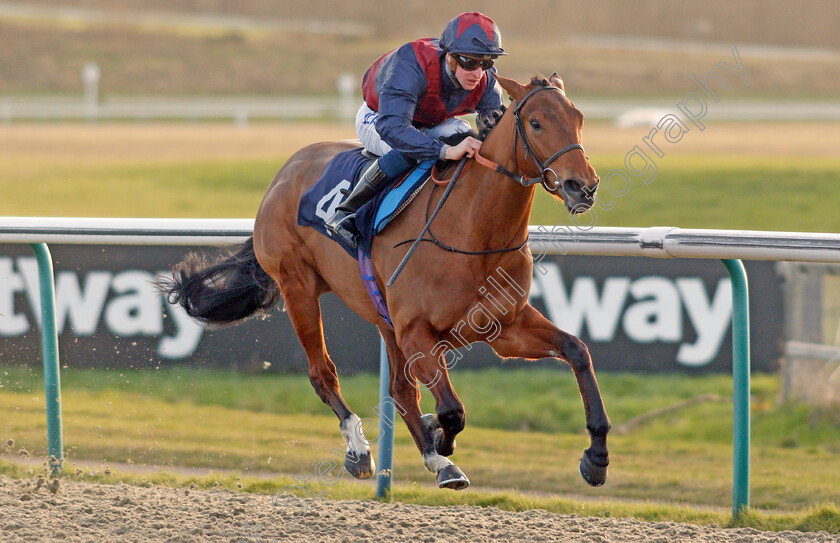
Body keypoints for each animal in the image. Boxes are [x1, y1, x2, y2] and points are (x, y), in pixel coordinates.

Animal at [159, 73, 612, 492]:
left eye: (578, 118)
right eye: (535, 123)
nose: (583, 186)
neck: (474, 231)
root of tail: (285, 172)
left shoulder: (504, 327)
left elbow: (577, 350)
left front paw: (596, 456)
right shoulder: (417, 332)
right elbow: (452, 410)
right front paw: (440, 439)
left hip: (381, 316)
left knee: (398, 388)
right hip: (298, 286)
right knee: (323, 373)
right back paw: (362, 450)